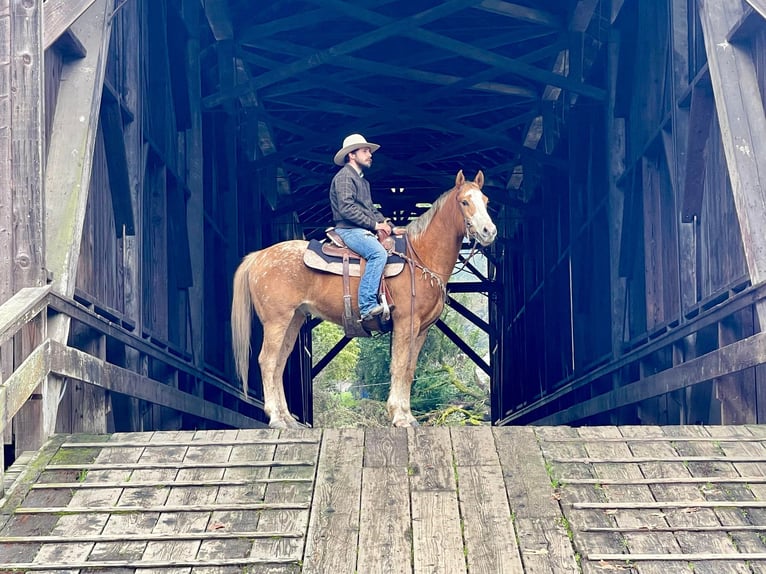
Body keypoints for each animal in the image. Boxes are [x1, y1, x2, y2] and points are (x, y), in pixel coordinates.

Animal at [231, 169, 500, 430]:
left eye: (486, 200)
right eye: (464, 201)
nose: (489, 232)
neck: (420, 257)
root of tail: (258, 257)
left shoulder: (421, 329)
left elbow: (409, 369)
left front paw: (408, 416)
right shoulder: (406, 322)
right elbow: (399, 366)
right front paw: (399, 417)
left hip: (294, 320)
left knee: (279, 364)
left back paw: (288, 420)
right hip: (276, 320)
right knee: (267, 361)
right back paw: (276, 419)